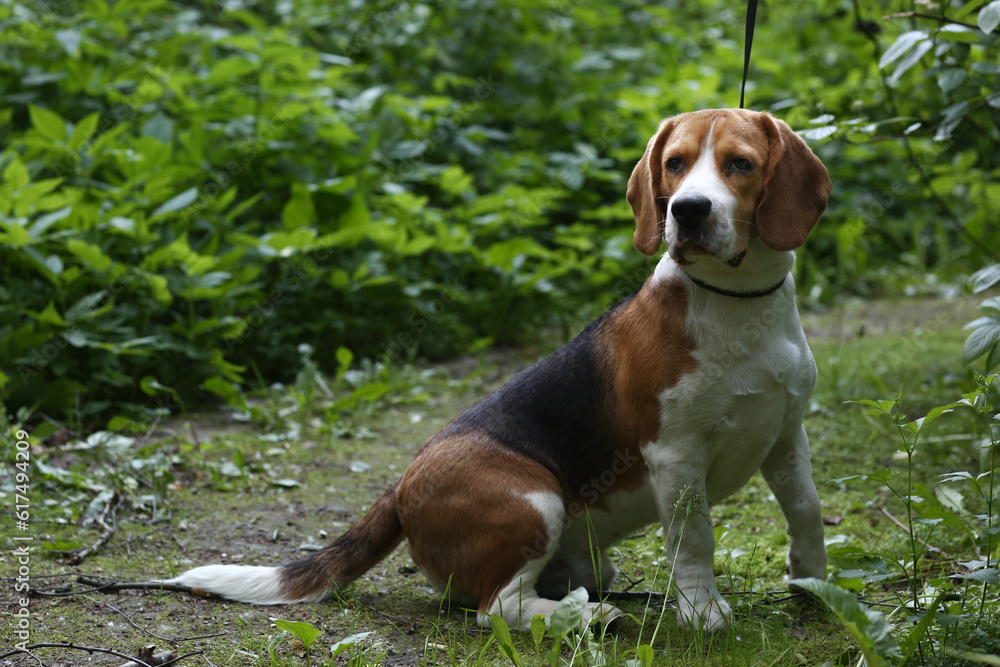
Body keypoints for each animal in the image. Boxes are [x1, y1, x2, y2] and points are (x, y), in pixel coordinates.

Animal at [166, 108, 836, 632]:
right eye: (674, 164)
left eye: (740, 164)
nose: (688, 211)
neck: (739, 302)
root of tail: (402, 484)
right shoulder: (675, 454)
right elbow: (695, 538)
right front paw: (704, 613)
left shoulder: (789, 436)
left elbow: (806, 512)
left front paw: (813, 586)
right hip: (535, 503)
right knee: (496, 607)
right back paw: (585, 617)